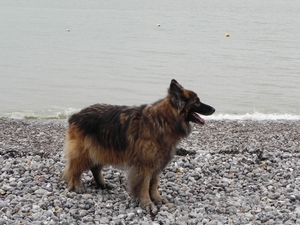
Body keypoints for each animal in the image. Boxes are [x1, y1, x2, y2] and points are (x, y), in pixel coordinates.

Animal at [62, 79, 214, 211]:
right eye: (197, 102)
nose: (213, 109)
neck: (163, 120)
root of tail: (75, 115)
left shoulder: (156, 164)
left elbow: (154, 184)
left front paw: (157, 198)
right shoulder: (144, 165)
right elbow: (144, 185)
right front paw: (147, 203)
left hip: (101, 149)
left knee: (95, 168)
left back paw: (102, 184)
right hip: (86, 152)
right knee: (74, 169)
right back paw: (77, 186)